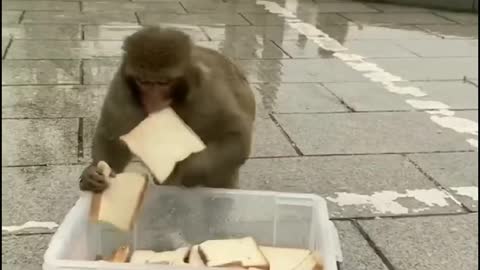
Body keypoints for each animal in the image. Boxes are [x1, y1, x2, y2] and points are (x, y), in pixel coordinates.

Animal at [79, 26, 255, 193]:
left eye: (163, 83)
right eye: (143, 82)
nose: (153, 99)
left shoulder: (207, 91)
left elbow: (236, 137)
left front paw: (182, 172)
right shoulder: (122, 86)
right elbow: (111, 138)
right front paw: (92, 174)